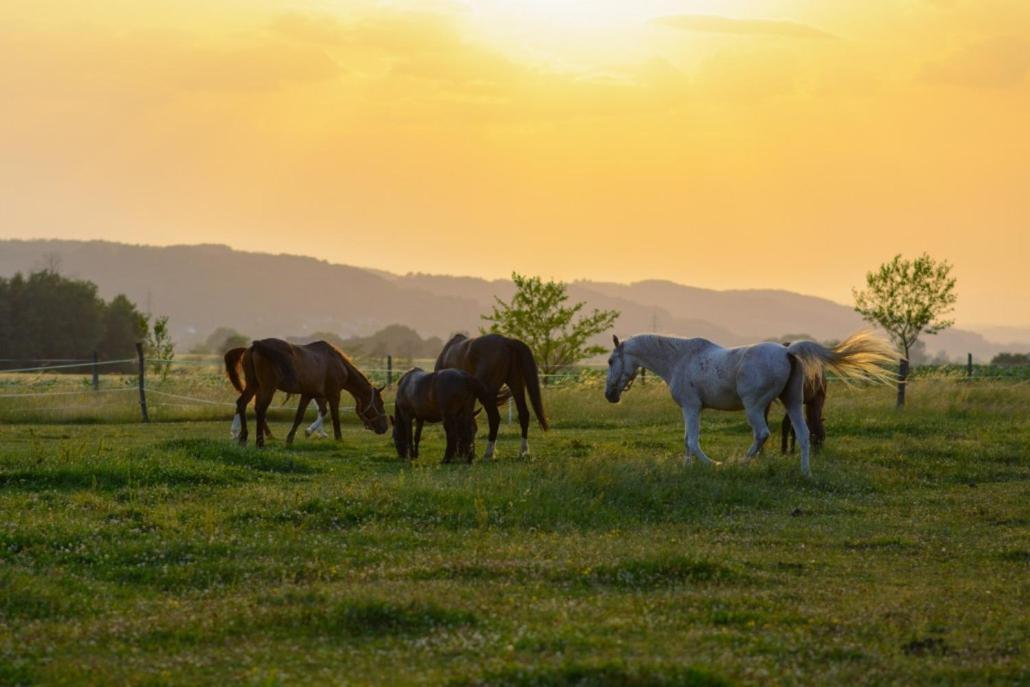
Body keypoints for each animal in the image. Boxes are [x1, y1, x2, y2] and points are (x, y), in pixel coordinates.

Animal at [224, 339, 387, 449]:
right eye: (380, 403)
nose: (385, 428)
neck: (338, 363)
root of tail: (255, 346)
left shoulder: (309, 394)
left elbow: (300, 416)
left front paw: (291, 438)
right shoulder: (334, 395)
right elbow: (335, 417)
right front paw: (338, 438)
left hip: (253, 385)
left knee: (242, 403)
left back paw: (243, 437)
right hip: (267, 388)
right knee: (260, 409)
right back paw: (259, 441)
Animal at [601, 329, 894, 475]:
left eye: (611, 361)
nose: (609, 395)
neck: (680, 359)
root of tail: (788, 351)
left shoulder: (692, 408)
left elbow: (692, 441)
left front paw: (713, 465)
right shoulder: (691, 410)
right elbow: (686, 440)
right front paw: (687, 468)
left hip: (755, 407)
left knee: (762, 434)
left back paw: (740, 463)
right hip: (793, 403)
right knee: (804, 435)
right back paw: (805, 473)